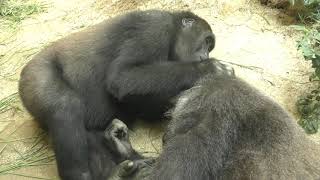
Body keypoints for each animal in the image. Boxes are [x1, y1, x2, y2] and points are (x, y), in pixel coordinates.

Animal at [18, 10, 232, 180]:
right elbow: (122, 76)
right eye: (206, 42)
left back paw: (121, 153)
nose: (204, 56)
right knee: (65, 106)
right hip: (33, 74)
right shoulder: (155, 26)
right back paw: (83, 174)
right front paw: (208, 68)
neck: (173, 31)